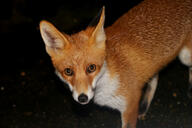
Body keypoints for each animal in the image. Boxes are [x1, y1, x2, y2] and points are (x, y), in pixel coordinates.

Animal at [39, 0, 192, 127]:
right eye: (68, 71)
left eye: (91, 68)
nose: (82, 98)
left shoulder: (130, 107)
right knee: (155, 76)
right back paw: (144, 106)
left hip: (185, 56)